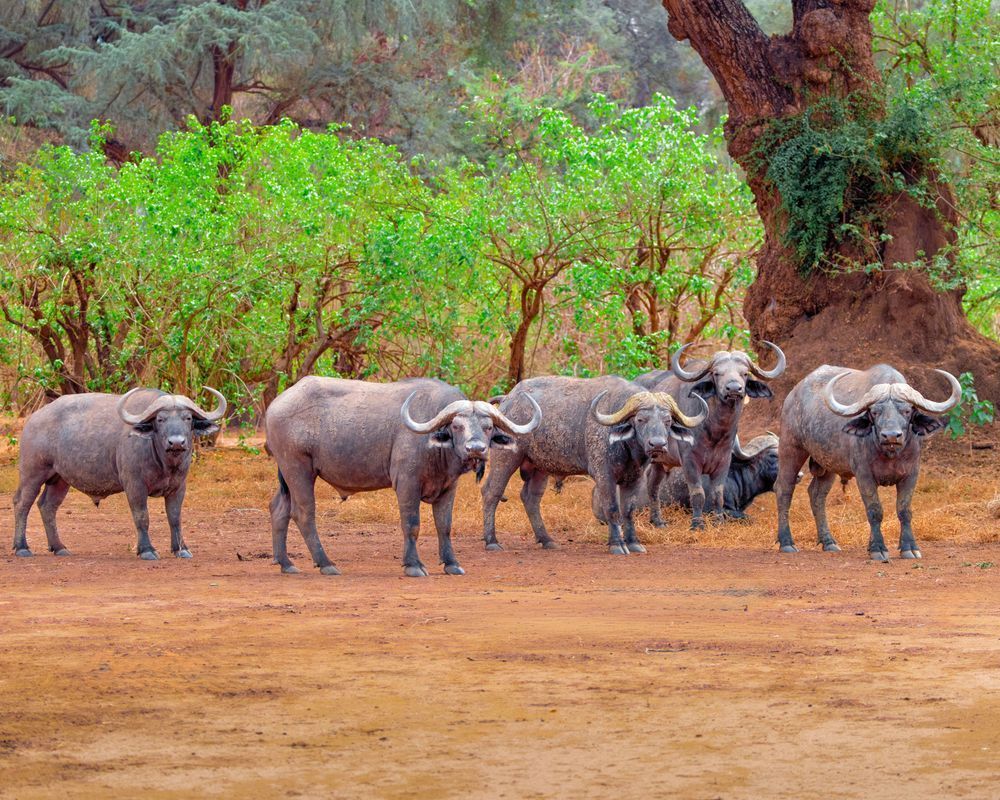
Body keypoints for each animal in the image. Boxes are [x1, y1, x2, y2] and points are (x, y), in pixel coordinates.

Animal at [12, 387, 226, 560]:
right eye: (160, 419)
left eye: (187, 418)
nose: (176, 442)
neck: (165, 462)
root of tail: (34, 419)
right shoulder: (135, 486)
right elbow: (142, 517)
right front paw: (147, 550)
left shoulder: (178, 487)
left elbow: (175, 518)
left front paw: (181, 549)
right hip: (32, 473)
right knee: (22, 503)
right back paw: (22, 548)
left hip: (60, 479)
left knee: (47, 506)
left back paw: (59, 547)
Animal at [264, 377, 541, 577]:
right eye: (456, 425)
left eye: (488, 427)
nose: (476, 449)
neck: (436, 449)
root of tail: (276, 405)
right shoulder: (407, 485)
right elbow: (412, 525)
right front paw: (413, 565)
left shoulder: (448, 488)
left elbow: (444, 526)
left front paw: (451, 563)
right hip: (298, 469)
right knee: (303, 513)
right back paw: (326, 563)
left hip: (287, 476)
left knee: (279, 508)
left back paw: (286, 563)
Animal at [480, 376, 707, 554]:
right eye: (640, 419)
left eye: (667, 421)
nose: (657, 444)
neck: (627, 446)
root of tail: (507, 400)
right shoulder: (604, 475)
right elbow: (612, 508)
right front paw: (616, 544)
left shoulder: (635, 478)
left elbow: (628, 510)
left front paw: (633, 543)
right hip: (506, 457)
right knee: (491, 491)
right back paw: (492, 541)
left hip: (540, 467)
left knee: (530, 498)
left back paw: (547, 540)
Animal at [636, 342, 785, 530]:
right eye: (717, 373)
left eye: (744, 373)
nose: (734, 388)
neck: (714, 433)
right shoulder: (690, 462)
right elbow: (698, 493)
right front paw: (697, 524)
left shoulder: (723, 461)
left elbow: (717, 494)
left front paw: (718, 522)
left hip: (661, 463)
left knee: (652, 485)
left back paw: (657, 521)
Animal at [775, 364, 960, 561]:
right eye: (875, 412)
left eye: (907, 411)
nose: (891, 436)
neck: (890, 454)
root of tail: (793, 395)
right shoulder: (864, 475)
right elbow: (875, 510)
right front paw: (878, 548)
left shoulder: (911, 474)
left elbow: (904, 510)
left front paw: (909, 547)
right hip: (791, 447)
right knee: (784, 489)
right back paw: (787, 542)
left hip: (828, 464)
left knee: (817, 494)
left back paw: (829, 542)